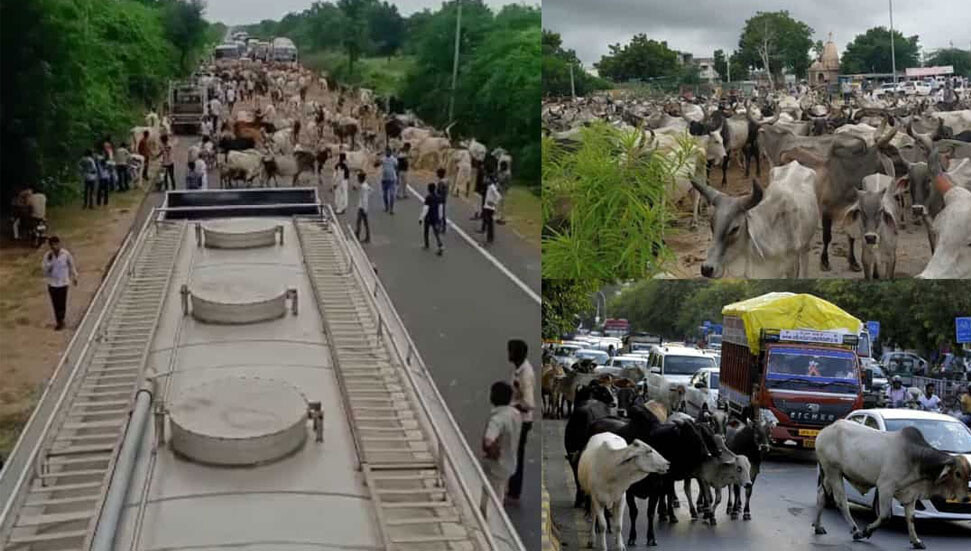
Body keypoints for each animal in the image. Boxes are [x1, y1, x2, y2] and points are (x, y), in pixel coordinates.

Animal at [692, 162, 820, 278]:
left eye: (735, 229)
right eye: (712, 225)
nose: (707, 269)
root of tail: (796, 163)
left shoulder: (790, 268)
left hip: (806, 245)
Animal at [812, 422, 971, 548]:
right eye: (957, 473)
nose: (966, 498)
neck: (916, 459)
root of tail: (825, 430)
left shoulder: (910, 495)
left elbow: (911, 518)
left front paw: (916, 541)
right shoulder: (885, 487)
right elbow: (885, 516)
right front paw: (866, 531)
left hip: (830, 474)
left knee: (821, 494)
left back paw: (818, 526)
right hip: (833, 471)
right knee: (841, 501)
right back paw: (856, 530)